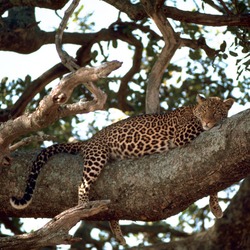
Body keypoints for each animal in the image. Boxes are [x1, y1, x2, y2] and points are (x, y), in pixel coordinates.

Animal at [10, 94, 234, 245]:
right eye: (204, 112)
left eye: (216, 112)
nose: (208, 122)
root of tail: (89, 140)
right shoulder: (184, 133)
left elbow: (214, 183)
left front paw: (215, 207)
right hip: (97, 156)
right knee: (82, 185)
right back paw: (82, 208)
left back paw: (117, 233)